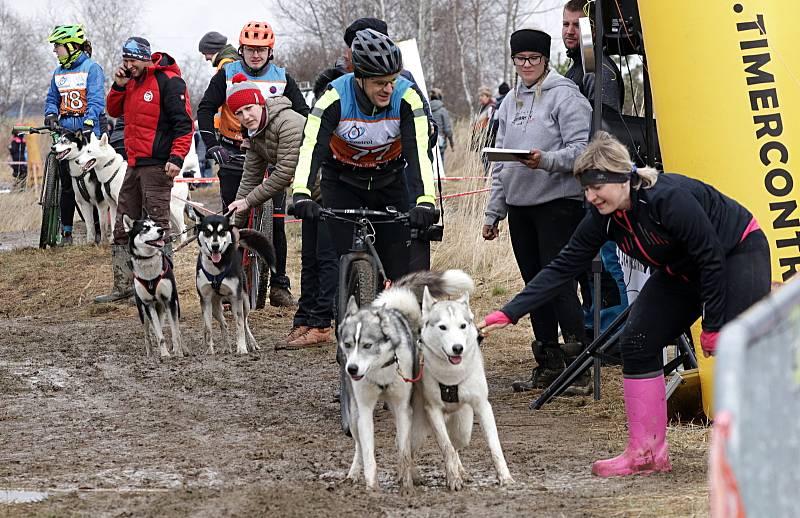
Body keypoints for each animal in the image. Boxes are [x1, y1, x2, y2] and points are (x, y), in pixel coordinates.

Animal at [123, 217, 186, 360]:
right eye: (145, 228)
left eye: (156, 225)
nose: (161, 230)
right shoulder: (148, 305)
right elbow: (159, 335)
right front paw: (164, 354)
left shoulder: (170, 302)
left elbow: (175, 332)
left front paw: (178, 353)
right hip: (143, 313)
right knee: (148, 334)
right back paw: (150, 353)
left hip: (165, 308)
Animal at [195, 213, 276, 356]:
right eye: (207, 232)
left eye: (222, 231)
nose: (215, 246)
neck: (216, 268)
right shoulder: (205, 300)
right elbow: (208, 328)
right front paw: (209, 350)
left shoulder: (235, 298)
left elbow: (239, 326)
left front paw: (242, 348)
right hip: (215, 307)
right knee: (224, 324)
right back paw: (227, 347)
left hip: (245, 302)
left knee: (245, 322)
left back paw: (252, 343)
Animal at [340, 270, 476, 494]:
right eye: (348, 344)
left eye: (368, 345)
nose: (352, 369)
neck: (381, 370)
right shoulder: (365, 411)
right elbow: (368, 452)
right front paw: (372, 486)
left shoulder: (403, 408)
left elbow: (404, 450)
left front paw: (406, 484)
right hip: (353, 415)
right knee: (359, 445)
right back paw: (353, 473)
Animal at [416, 286, 516, 494]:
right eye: (442, 327)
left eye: (462, 326)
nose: (458, 348)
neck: (451, 375)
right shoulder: (433, 410)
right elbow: (446, 447)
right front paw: (453, 478)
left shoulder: (483, 406)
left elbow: (495, 445)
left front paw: (505, 477)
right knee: (449, 447)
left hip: (463, 428)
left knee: (457, 444)